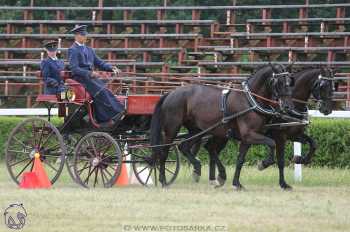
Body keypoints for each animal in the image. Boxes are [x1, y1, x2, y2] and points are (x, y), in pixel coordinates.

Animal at [150, 64, 296, 188]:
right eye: (278, 82)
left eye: (289, 82)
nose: (287, 106)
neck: (250, 100)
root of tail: (171, 93)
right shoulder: (250, 135)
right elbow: (271, 143)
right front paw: (263, 164)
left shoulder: (247, 138)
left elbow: (240, 159)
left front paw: (237, 183)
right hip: (172, 129)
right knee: (164, 151)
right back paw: (164, 181)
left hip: (197, 130)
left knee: (185, 146)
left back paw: (199, 168)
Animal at [186, 66, 336, 189]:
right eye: (322, 85)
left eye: (333, 86)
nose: (327, 109)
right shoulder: (279, 137)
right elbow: (280, 160)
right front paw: (281, 182)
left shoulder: (293, 135)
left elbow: (313, 143)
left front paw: (300, 159)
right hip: (217, 134)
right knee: (207, 148)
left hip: (220, 135)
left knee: (210, 149)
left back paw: (212, 178)